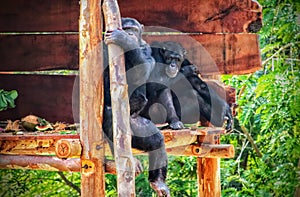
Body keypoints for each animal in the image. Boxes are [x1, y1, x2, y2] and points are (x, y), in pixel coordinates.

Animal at [103, 17, 170, 196]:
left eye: (133, 29)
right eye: (126, 28)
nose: (130, 34)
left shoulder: (146, 48)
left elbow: (144, 67)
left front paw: (125, 41)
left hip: (136, 126)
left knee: (156, 140)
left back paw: (158, 182)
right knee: (110, 115)